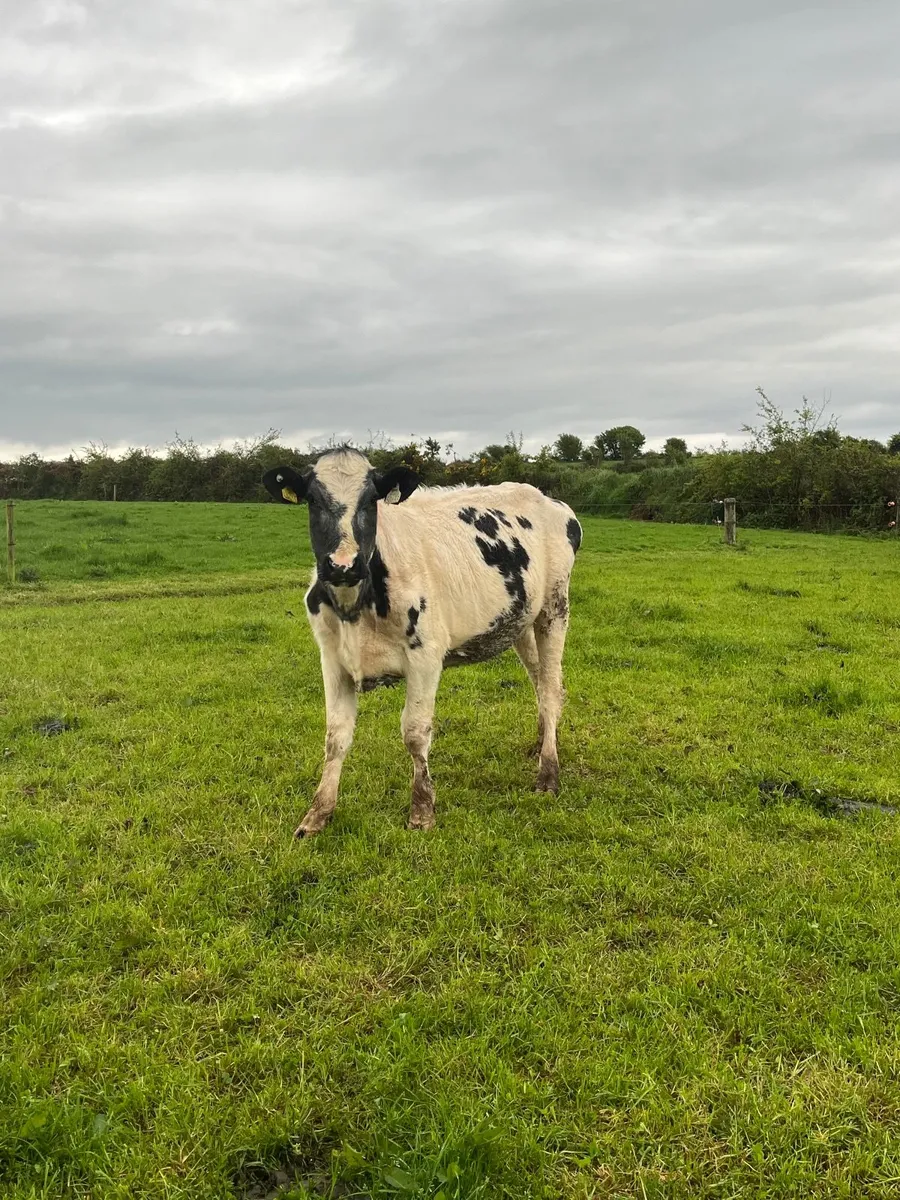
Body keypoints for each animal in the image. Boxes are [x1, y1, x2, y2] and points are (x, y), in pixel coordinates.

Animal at [262, 448, 581, 837]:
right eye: (312, 499)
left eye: (371, 500)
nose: (342, 565)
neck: (355, 607)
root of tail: (547, 498)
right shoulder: (332, 659)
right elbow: (335, 737)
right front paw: (317, 814)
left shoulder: (426, 656)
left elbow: (415, 732)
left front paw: (422, 809)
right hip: (521, 620)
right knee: (541, 681)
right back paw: (540, 744)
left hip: (554, 608)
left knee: (550, 688)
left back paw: (548, 772)